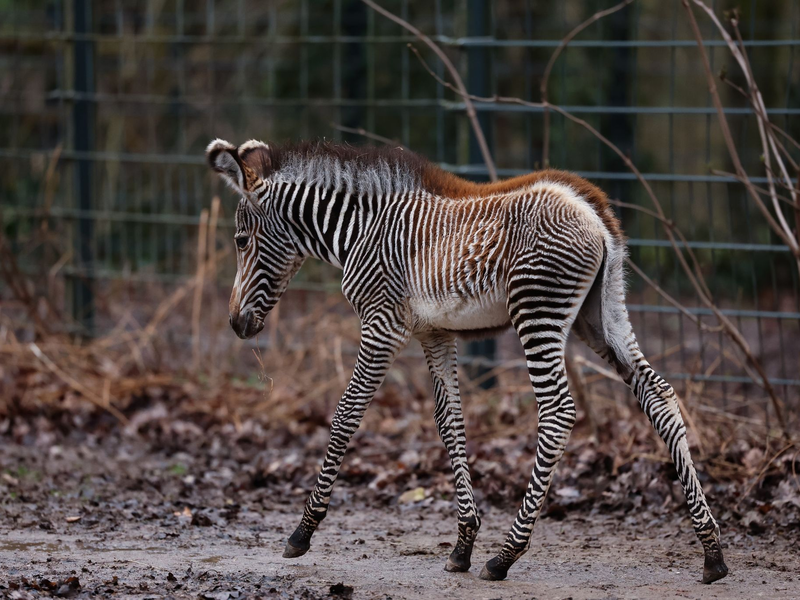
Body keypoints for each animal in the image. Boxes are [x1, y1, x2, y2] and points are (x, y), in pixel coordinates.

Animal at [206, 138, 729, 584]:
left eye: (240, 241)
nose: (235, 324)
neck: (359, 229)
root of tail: (589, 206)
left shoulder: (381, 324)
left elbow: (347, 414)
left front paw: (302, 532)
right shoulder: (435, 333)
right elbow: (449, 421)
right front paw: (462, 545)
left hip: (537, 310)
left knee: (558, 412)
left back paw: (506, 556)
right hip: (601, 315)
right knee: (658, 395)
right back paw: (712, 553)